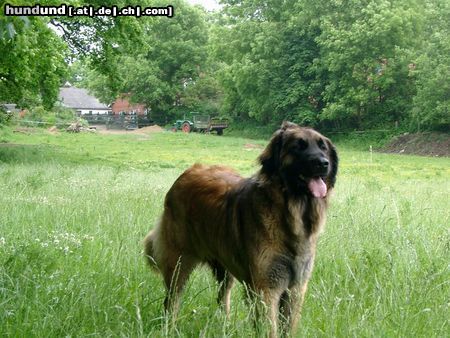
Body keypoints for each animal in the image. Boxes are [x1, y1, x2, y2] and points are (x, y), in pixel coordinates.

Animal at [144, 121, 338, 336]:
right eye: (298, 147)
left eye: (323, 147)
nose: (323, 163)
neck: (289, 216)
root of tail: (187, 173)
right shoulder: (266, 289)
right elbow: (269, 329)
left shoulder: (295, 289)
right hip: (179, 263)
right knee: (172, 300)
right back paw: (170, 328)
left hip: (224, 265)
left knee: (222, 297)